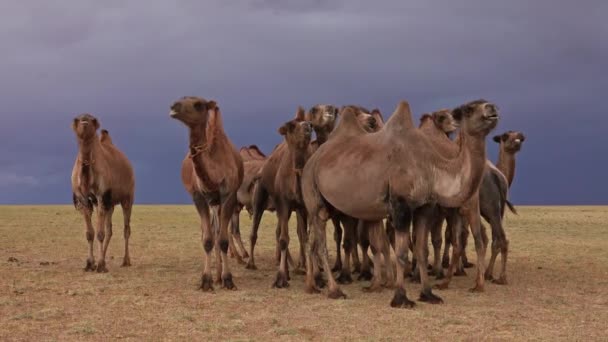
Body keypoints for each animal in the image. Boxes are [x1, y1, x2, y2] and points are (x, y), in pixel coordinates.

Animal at [70, 115, 135, 272]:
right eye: (78, 119)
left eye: (92, 119)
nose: (84, 122)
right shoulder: (83, 199)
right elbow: (90, 233)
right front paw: (90, 264)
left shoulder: (101, 195)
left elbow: (100, 233)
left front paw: (99, 265)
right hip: (110, 204)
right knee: (109, 230)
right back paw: (104, 259)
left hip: (128, 198)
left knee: (126, 229)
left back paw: (125, 261)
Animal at [169, 96, 245, 292]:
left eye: (198, 105)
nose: (174, 107)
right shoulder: (199, 196)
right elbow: (207, 240)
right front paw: (206, 281)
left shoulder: (228, 195)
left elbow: (223, 240)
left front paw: (228, 279)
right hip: (211, 202)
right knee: (210, 232)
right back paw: (216, 276)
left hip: (218, 202)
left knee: (219, 232)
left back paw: (220, 276)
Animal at [245, 104, 340, 272]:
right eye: (290, 126)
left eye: (335, 111)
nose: (307, 126)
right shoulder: (287, 203)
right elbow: (297, 236)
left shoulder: (305, 206)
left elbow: (308, 236)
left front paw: (311, 267)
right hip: (260, 197)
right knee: (255, 230)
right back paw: (252, 263)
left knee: (282, 232)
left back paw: (289, 262)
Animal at [302, 99, 498, 308]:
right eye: (469, 109)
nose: (492, 108)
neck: (432, 166)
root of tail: (312, 160)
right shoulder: (400, 206)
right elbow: (402, 253)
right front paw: (401, 298)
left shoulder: (424, 207)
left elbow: (422, 250)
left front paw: (428, 294)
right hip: (312, 194)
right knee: (321, 242)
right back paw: (335, 290)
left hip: (327, 205)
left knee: (312, 242)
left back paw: (311, 286)